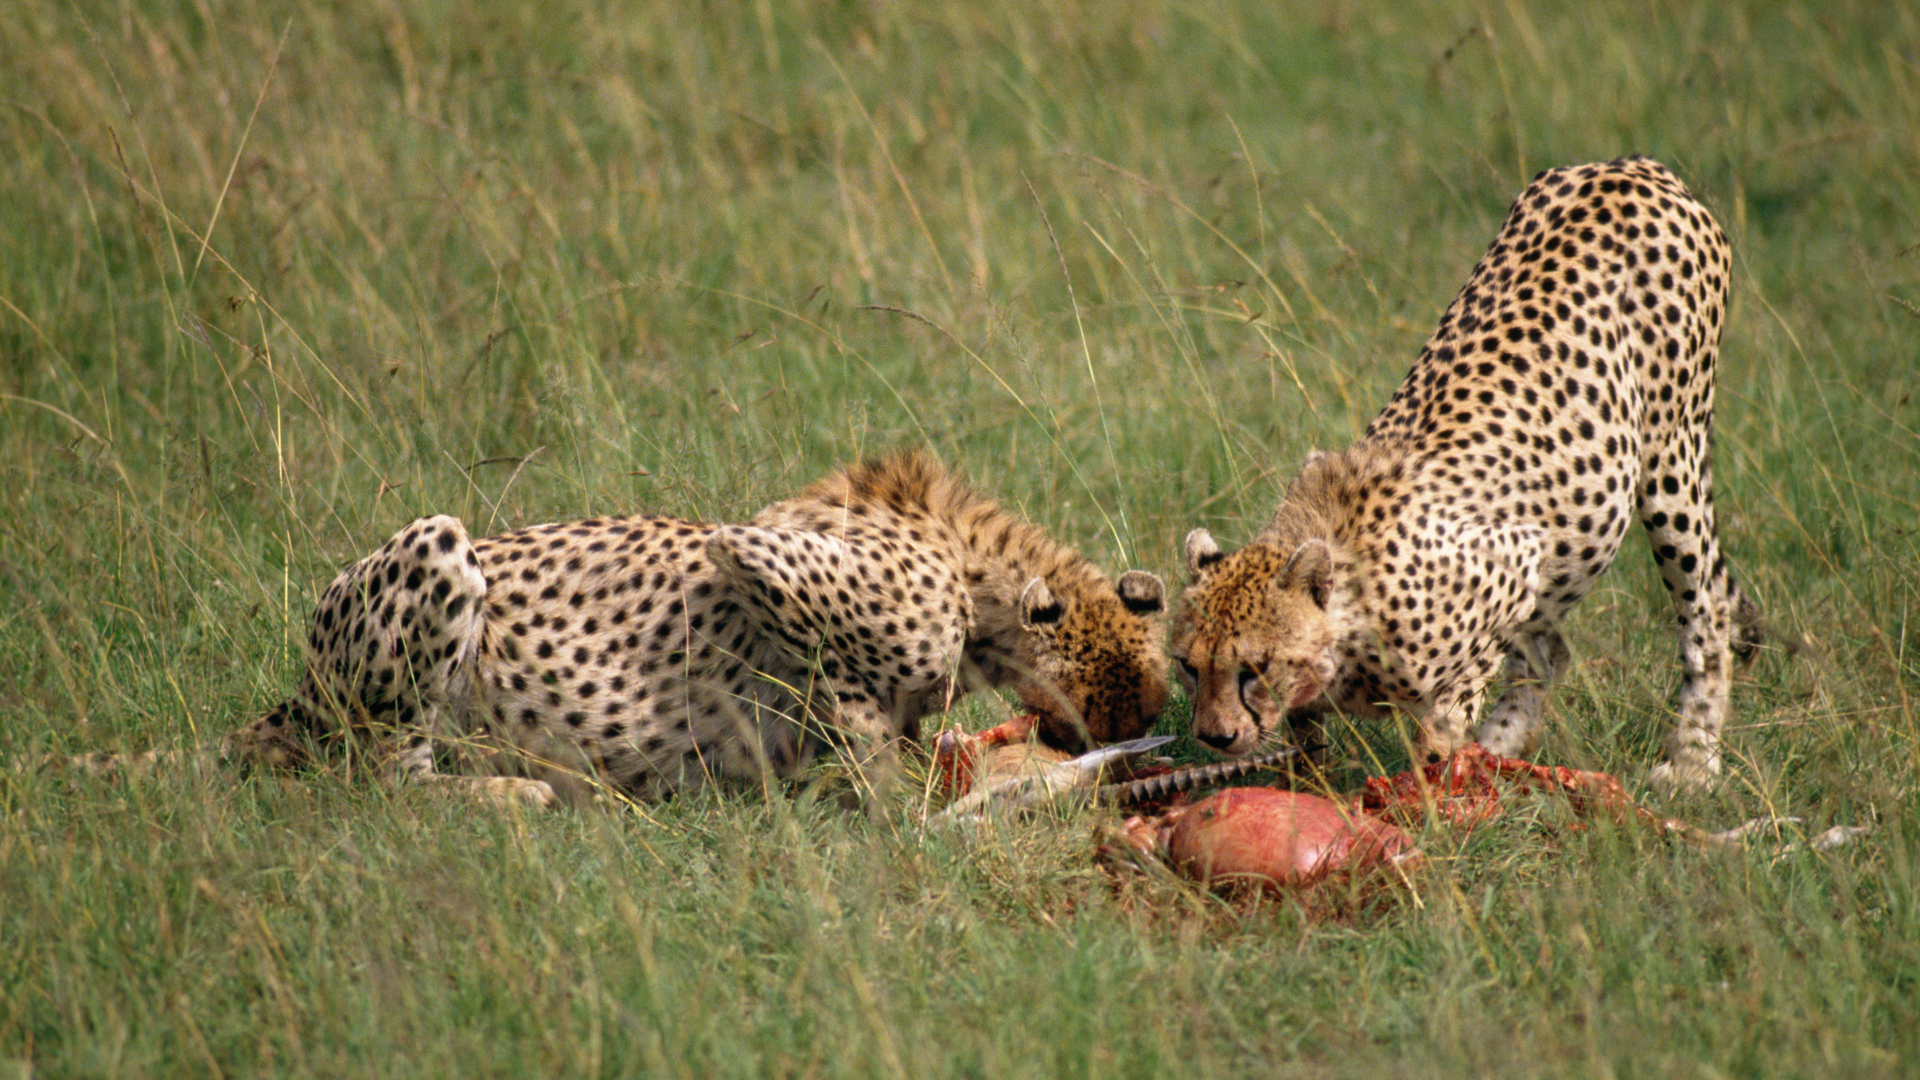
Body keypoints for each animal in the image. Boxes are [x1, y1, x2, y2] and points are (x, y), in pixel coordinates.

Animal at [127, 449, 1167, 803]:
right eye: (1125, 699)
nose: (1133, 738)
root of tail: (293, 696)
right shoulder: (757, 555)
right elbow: (854, 720)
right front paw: (891, 809)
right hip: (437, 550)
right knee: (378, 785)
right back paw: (522, 796)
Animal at [1159, 155, 1758, 791]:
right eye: (1187, 666)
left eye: (1254, 667)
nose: (1213, 737)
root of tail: (1627, 165)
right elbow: (1308, 742)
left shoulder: (1514, 569)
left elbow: (1441, 732)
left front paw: (1430, 803)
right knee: (1551, 655)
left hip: (1671, 455)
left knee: (1706, 617)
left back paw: (1692, 761)